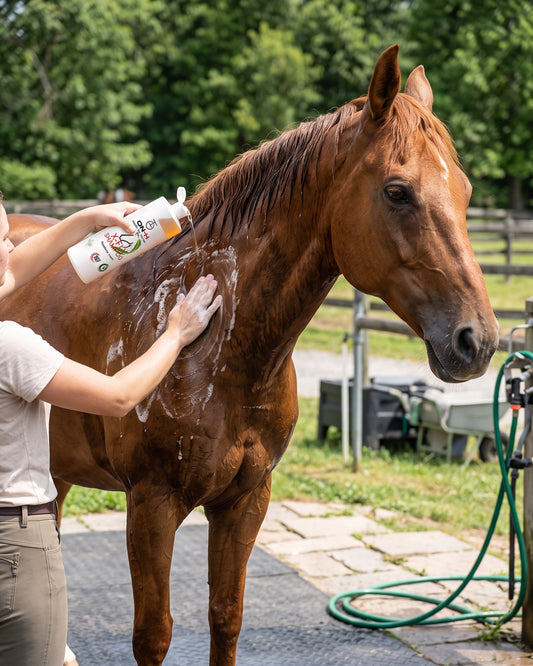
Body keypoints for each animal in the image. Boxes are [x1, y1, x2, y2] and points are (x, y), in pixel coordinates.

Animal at [1, 45, 499, 665]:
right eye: (397, 191)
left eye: (466, 191)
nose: (476, 340)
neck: (223, 350)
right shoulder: (152, 504)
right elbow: (153, 635)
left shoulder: (246, 501)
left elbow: (226, 617)